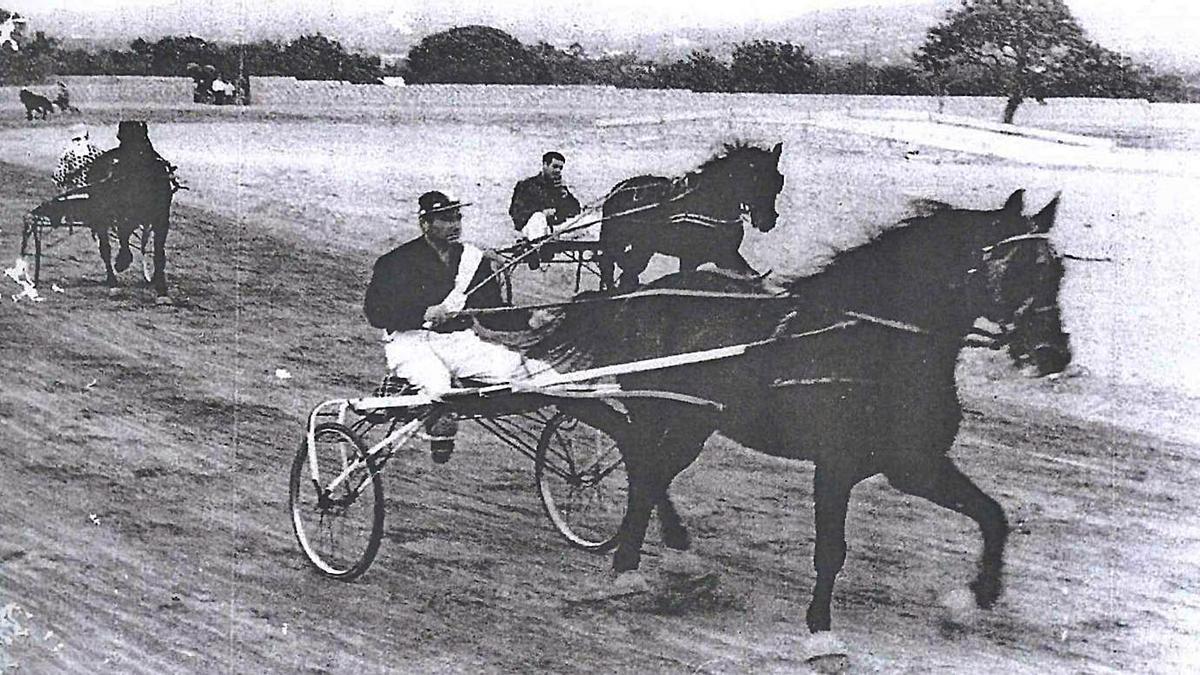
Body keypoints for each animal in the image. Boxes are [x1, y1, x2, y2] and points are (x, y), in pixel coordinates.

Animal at [535, 187, 1070, 658]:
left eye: (1058, 271)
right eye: (1016, 269)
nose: (1054, 354)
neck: (875, 345)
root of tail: (638, 296)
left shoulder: (915, 466)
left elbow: (992, 516)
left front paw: (975, 598)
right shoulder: (835, 467)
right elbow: (831, 551)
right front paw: (820, 633)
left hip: (694, 424)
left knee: (651, 471)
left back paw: (673, 549)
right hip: (667, 416)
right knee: (644, 473)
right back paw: (628, 568)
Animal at [600, 140, 787, 290]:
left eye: (778, 181)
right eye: (755, 180)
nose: (767, 221)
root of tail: (619, 188)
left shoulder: (726, 254)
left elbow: (749, 272)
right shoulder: (691, 258)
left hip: (644, 247)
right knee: (612, 265)